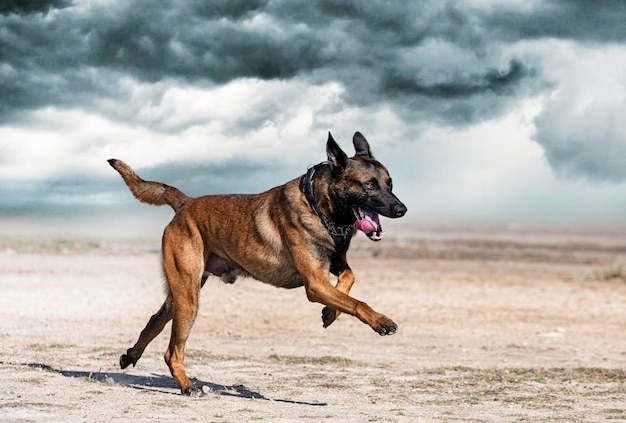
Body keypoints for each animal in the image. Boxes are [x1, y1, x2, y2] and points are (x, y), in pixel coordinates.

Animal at [108, 132, 408, 398]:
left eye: (390, 183)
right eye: (369, 185)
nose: (401, 209)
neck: (319, 206)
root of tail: (186, 203)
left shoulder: (333, 267)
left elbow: (349, 278)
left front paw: (330, 313)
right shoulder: (315, 284)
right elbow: (358, 302)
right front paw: (381, 321)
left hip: (182, 292)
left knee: (154, 321)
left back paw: (131, 356)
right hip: (188, 296)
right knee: (172, 351)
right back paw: (187, 386)